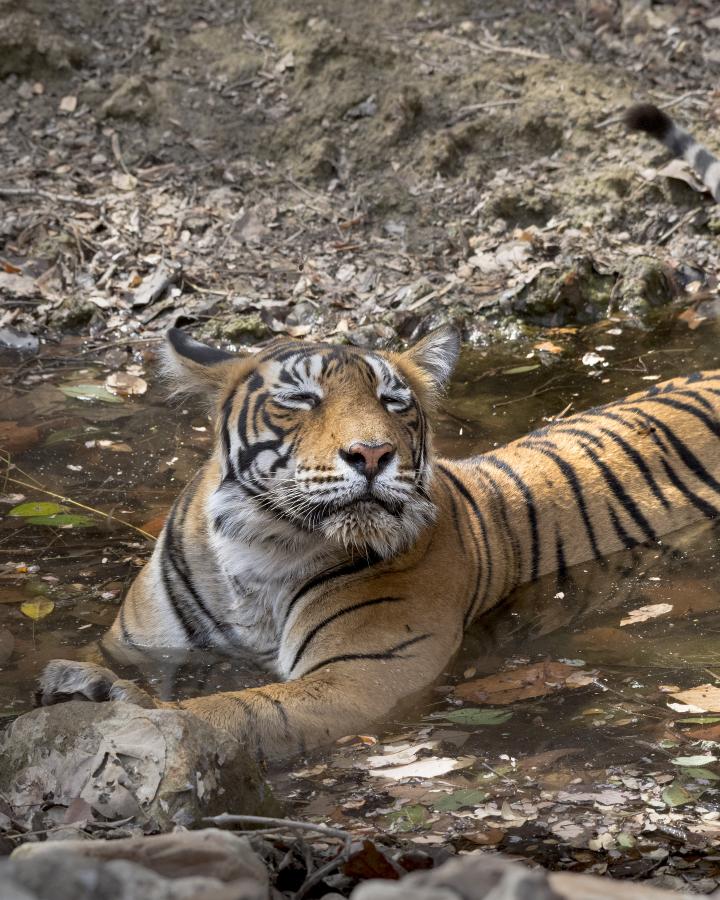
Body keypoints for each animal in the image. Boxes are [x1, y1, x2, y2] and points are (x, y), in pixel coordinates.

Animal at [37, 325, 720, 760]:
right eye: (300, 399)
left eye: (394, 402)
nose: (371, 453)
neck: (259, 551)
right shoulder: (135, 644)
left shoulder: (360, 675)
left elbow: (236, 709)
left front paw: (116, 701)